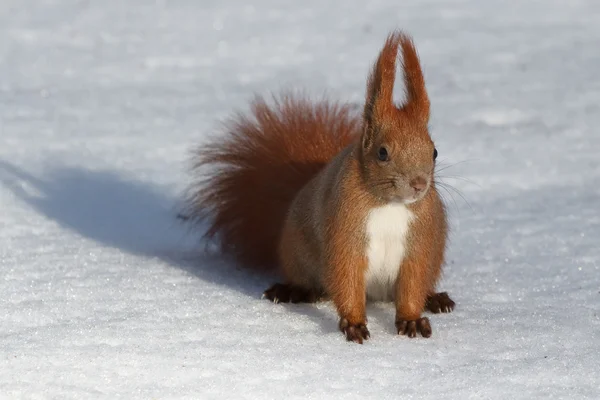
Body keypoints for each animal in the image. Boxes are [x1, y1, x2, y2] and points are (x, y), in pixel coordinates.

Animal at [186, 30, 454, 344]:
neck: (390, 205)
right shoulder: (344, 230)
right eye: (382, 152)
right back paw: (292, 289)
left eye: (434, 151)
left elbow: (413, 281)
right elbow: (346, 276)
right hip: (298, 253)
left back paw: (435, 298)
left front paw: (411, 319)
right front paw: (353, 323)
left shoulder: (420, 239)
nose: (419, 185)